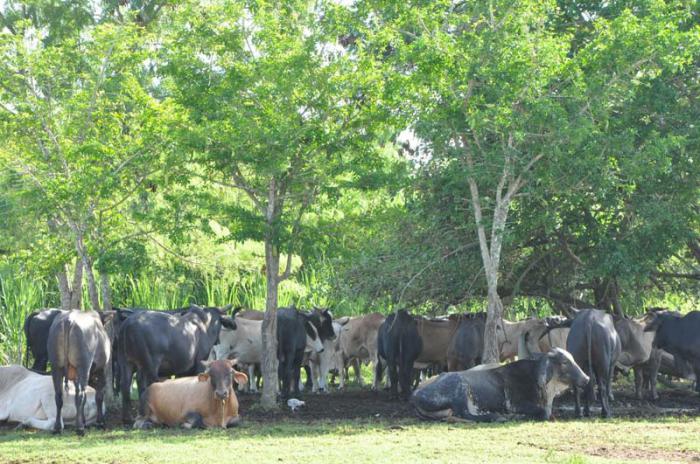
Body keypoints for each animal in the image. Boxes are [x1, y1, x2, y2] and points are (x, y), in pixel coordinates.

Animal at [411, 348, 589, 422]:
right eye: (564, 362)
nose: (586, 378)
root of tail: (415, 393)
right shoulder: (515, 404)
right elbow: (543, 413)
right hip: (459, 387)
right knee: (465, 414)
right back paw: (496, 417)